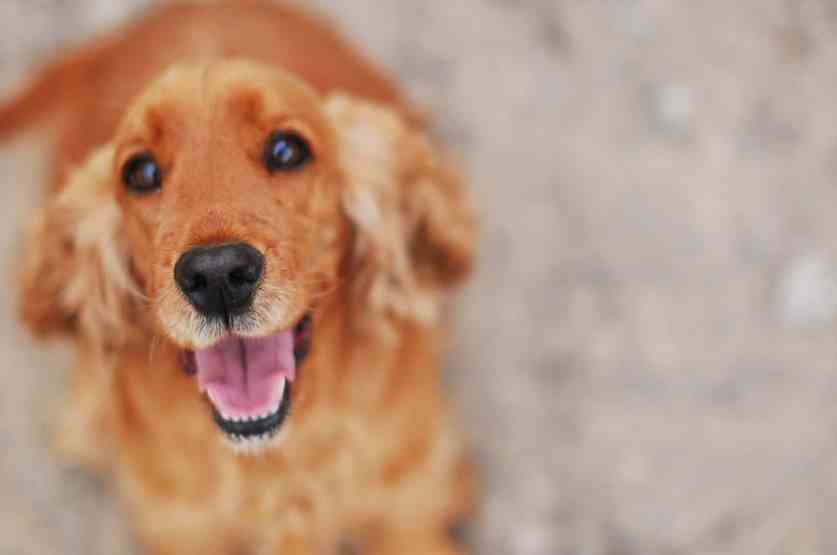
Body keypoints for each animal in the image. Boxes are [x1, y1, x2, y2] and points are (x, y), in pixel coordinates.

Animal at [0, 2, 474, 552]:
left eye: (287, 151)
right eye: (140, 172)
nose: (218, 275)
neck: (271, 464)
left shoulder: (408, 512)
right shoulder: (185, 530)